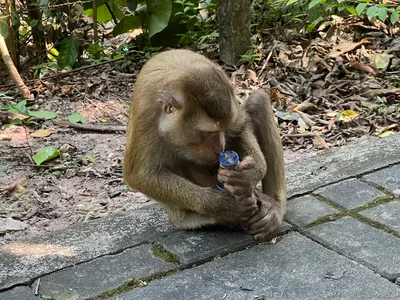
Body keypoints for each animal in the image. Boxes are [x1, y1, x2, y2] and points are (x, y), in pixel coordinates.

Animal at [123, 48, 286, 239]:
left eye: (224, 128)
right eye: (208, 132)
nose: (220, 148)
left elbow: (240, 126)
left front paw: (250, 175)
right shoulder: (145, 116)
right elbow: (140, 175)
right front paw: (224, 206)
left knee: (258, 100)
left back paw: (273, 207)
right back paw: (201, 218)